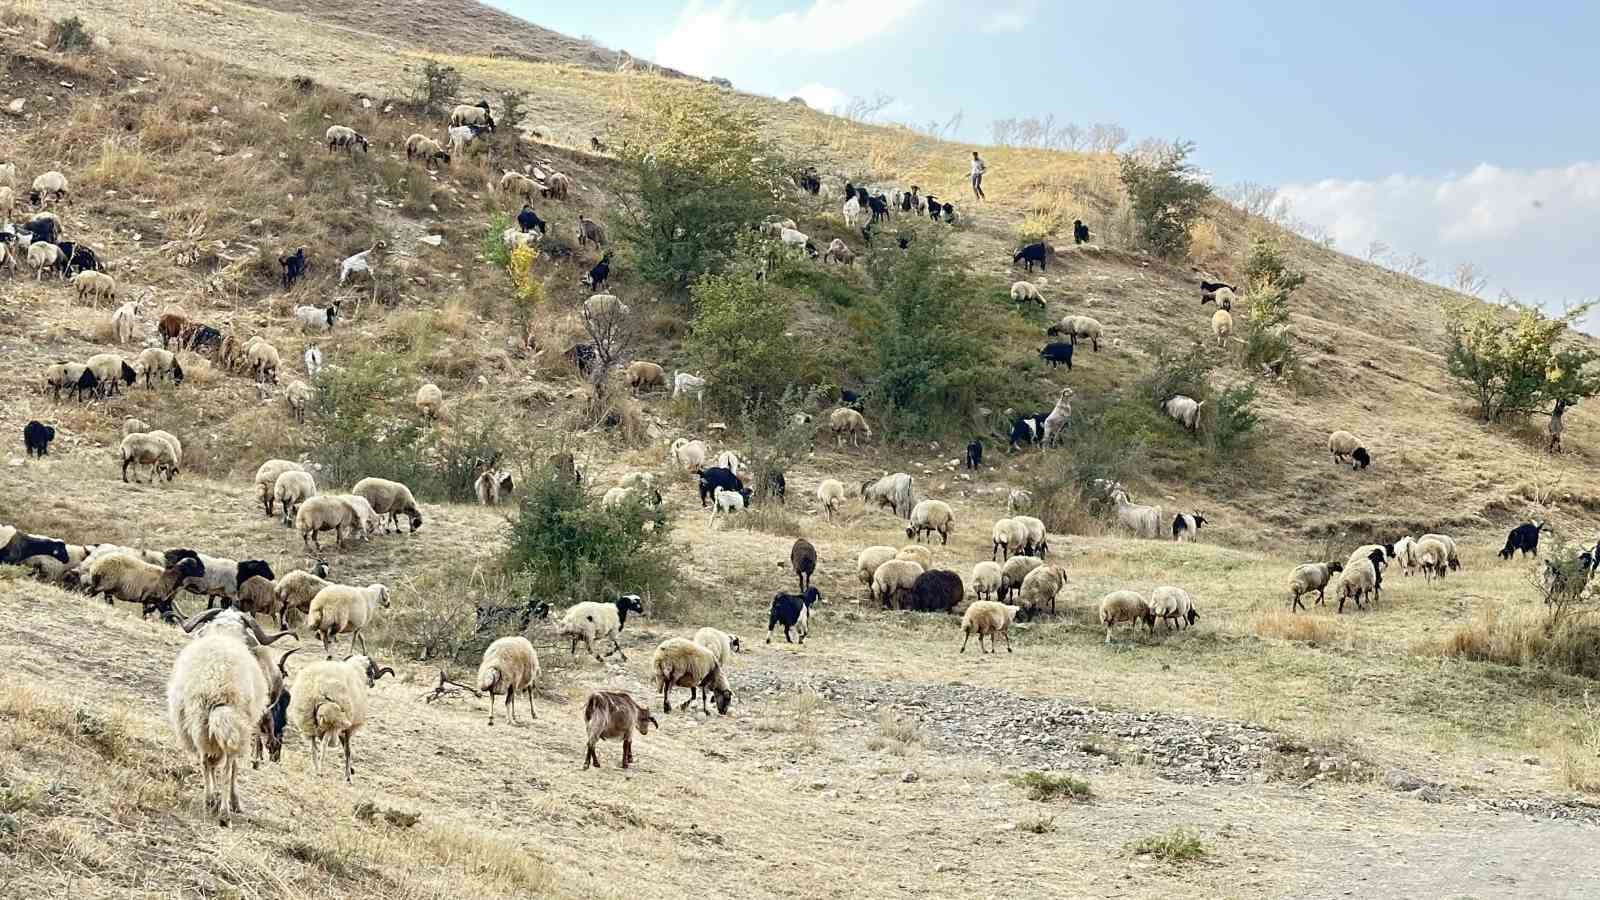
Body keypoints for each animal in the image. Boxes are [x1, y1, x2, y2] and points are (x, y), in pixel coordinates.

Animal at [286, 646, 392, 781]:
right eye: (371, 671)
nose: (373, 684)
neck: (358, 671)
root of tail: (317, 689)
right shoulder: (349, 727)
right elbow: (347, 750)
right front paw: (348, 776)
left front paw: (350, 770)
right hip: (333, 720)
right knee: (324, 744)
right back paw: (320, 771)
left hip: (308, 720)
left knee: (313, 747)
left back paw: (316, 768)